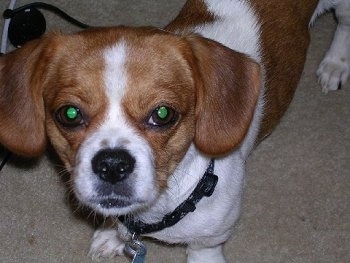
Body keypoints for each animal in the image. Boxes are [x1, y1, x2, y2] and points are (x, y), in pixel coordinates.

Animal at [0, 0, 348, 262]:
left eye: (163, 114)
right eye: (69, 114)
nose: (112, 164)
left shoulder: (209, 243)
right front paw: (112, 235)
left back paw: (336, 63)